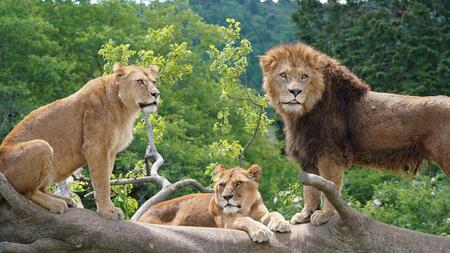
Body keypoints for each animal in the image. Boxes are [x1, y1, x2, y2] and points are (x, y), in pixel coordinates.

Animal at [0, 64, 159, 219]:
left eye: (154, 82)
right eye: (140, 81)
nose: (156, 94)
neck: (124, 108)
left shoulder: (111, 151)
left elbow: (106, 179)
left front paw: (110, 208)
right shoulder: (96, 147)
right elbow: (102, 182)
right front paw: (107, 212)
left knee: (40, 188)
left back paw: (65, 199)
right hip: (42, 146)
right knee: (28, 192)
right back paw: (56, 203)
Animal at [139, 165, 290, 242]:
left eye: (238, 183)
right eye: (222, 185)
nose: (226, 197)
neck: (245, 207)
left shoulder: (261, 214)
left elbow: (274, 213)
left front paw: (281, 223)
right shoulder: (228, 221)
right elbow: (245, 219)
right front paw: (261, 231)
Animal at [258, 43, 450, 225]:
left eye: (304, 76)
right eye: (283, 75)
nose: (295, 92)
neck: (302, 114)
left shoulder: (330, 153)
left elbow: (330, 186)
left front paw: (324, 214)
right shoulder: (308, 155)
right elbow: (310, 190)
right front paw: (305, 215)